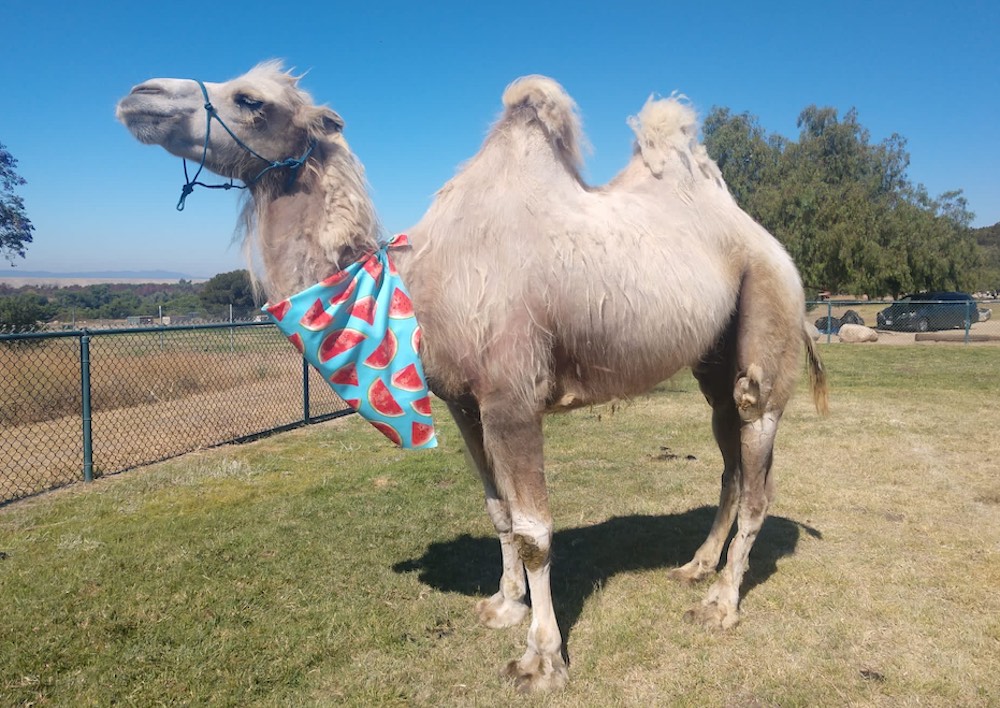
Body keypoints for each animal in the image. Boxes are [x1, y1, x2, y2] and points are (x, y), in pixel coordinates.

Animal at [117, 60, 828, 692]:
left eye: (251, 99)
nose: (138, 96)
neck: (413, 284)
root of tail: (771, 246)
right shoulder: (463, 402)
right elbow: (499, 511)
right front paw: (503, 606)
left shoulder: (513, 399)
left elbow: (536, 531)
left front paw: (541, 659)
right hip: (711, 358)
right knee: (730, 459)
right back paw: (695, 568)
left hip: (766, 321)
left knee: (757, 462)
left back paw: (721, 604)